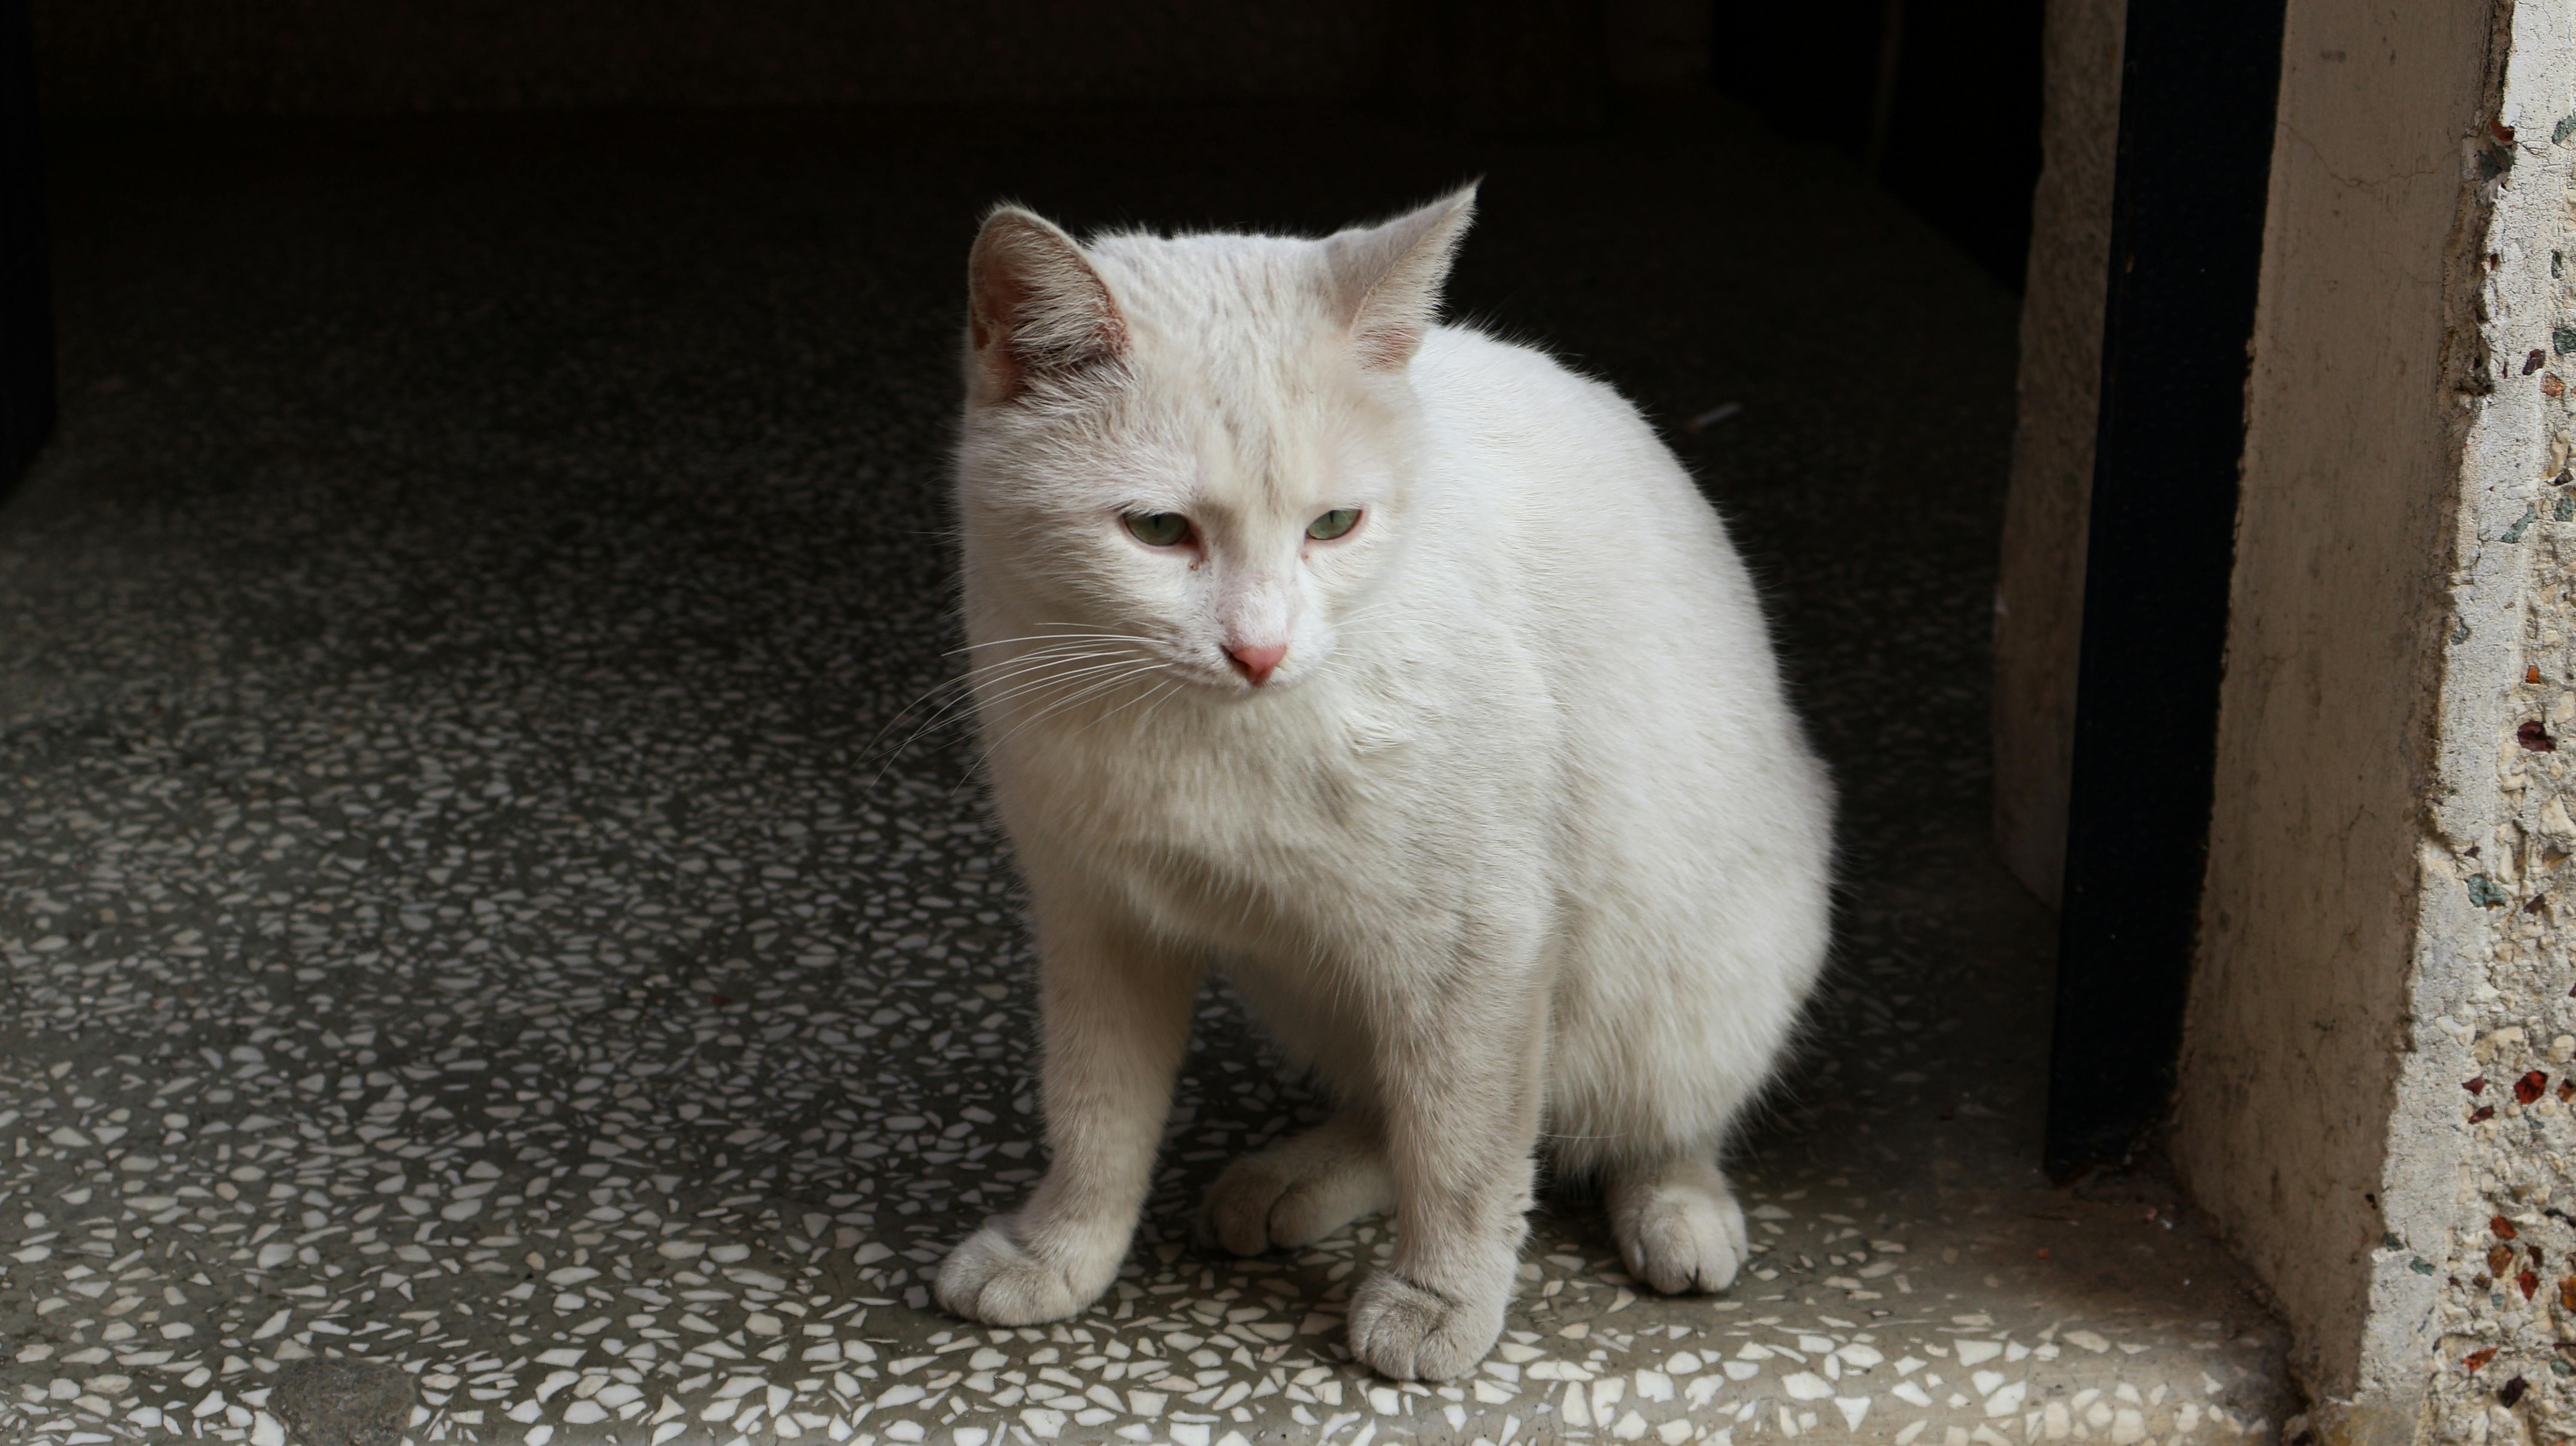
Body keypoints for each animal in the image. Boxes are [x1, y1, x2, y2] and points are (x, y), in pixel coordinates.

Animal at [927, 183, 1834, 1371]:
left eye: (1334, 526)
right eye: (1159, 531)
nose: (1259, 650)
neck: (1207, 736)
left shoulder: (1479, 941)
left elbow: (1464, 1149)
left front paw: (1439, 1300)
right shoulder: (1098, 921)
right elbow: (1095, 1116)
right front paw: (1058, 1255)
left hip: (1693, 973)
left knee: (1636, 1119)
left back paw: (1675, 1215)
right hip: (1306, 976)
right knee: (1391, 1101)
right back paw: (1286, 1184)